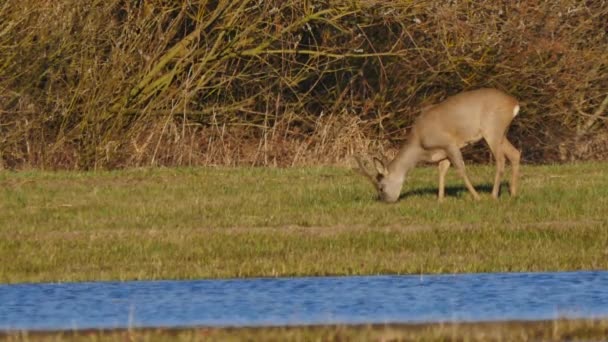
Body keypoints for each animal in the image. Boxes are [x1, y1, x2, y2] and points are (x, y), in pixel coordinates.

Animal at [356, 88, 524, 203]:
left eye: (381, 187)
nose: (386, 201)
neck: (420, 146)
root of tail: (514, 104)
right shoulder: (443, 152)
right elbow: (441, 171)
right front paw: (440, 199)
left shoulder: (449, 143)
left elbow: (461, 170)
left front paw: (476, 197)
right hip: (502, 133)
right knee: (515, 154)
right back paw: (513, 194)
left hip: (493, 129)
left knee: (501, 160)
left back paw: (493, 196)